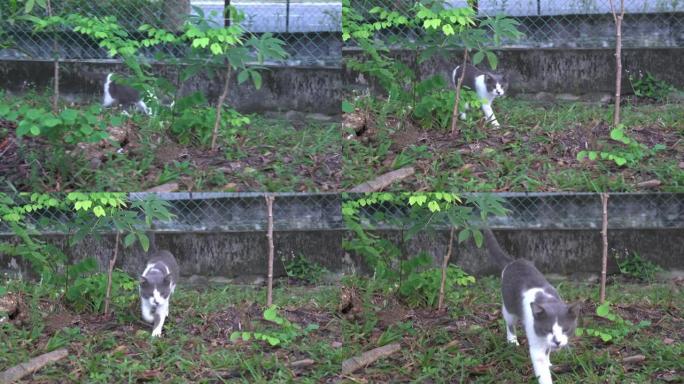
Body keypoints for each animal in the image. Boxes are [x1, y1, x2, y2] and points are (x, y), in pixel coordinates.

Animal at [480, 228, 576, 384]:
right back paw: (512, 341)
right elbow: (541, 367)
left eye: (566, 329)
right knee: (509, 323)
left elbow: (547, 352)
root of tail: (513, 262)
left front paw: (549, 362)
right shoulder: (536, 340)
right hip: (509, 307)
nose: (557, 342)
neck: (548, 301)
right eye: (548, 329)